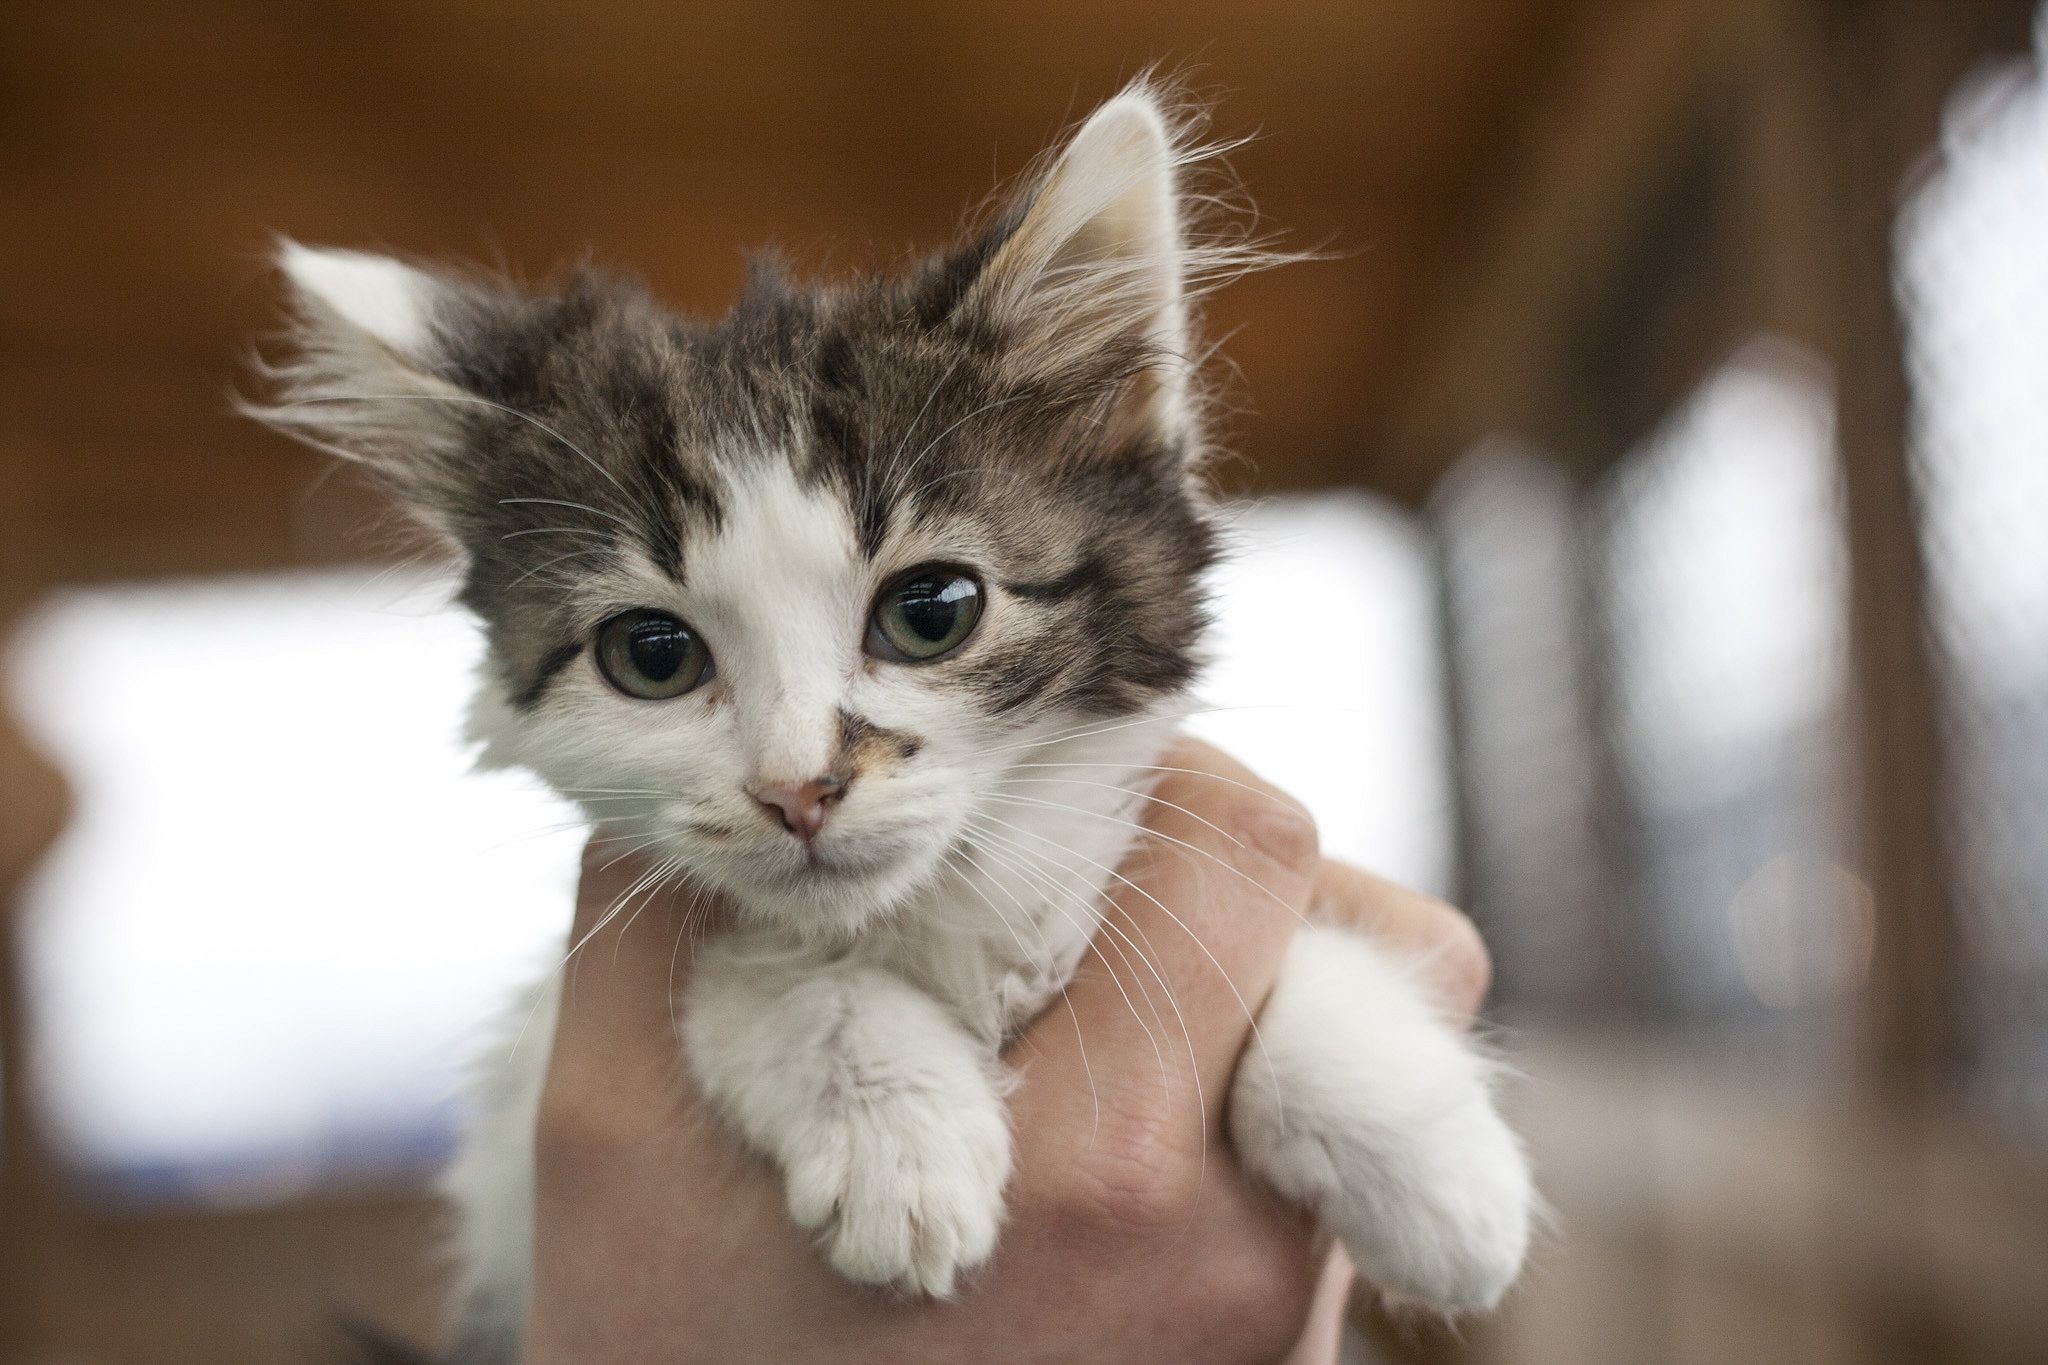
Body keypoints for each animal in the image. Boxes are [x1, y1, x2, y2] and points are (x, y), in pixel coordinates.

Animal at [251, 87, 1523, 1365]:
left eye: (930, 613)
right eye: (651, 657)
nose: (796, 789)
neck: (950, 924)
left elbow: (1305, 956)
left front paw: (1423, 1155)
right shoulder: (524, 1118)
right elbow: (769, 977)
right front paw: (889, 1136)